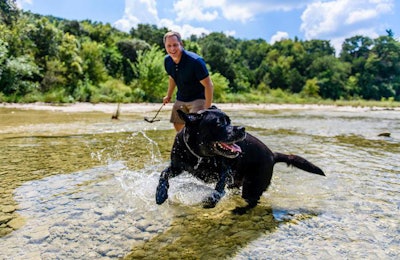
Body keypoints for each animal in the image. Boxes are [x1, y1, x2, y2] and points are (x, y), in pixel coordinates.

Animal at [156, 105, 324, 213]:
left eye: (229, 121)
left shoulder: (224, 171)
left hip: (252, 186)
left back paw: (240, 210)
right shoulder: (177, 166)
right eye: (219, 123)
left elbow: (218, 189)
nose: (242, 128)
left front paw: (210, 201)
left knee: (253, 202)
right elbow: (163, 174)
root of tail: (272, 155)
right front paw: (160, 194)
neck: (199, 155)